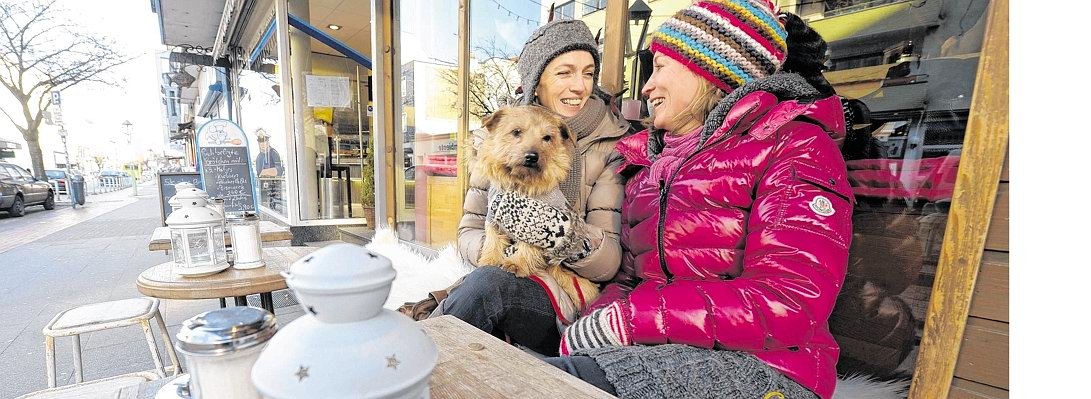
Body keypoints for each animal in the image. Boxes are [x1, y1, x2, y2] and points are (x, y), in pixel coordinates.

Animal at [475, 105, 602, 309]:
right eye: (516, 132)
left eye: (547, 138)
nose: (531, 156)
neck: (521, 183)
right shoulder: (493, 218)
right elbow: (492, 242)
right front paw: (488, 261)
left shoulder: (538, 226)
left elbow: (528, 246)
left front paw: (517, 263)